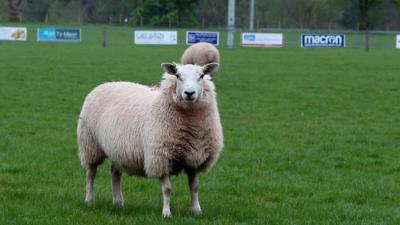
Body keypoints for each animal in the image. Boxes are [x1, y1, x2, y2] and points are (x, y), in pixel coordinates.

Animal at [76, 62, 223, 217]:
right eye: (178, 75)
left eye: (201, 76)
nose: (189, 93)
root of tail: (106, 83)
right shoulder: (161, 157)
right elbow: (167, 189)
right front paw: (166, 213)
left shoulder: (194, 158)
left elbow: (194, 187)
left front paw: (196, 211)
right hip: (90, 144)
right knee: (91, 174)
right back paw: (89, 200)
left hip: (118, 149)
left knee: (115, 173)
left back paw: (118, 202)